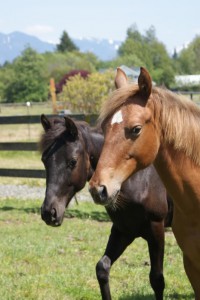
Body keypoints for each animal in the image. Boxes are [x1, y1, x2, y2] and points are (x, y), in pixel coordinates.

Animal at [39, 114, 173, 300]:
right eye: (44, 160)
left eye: (72, 162)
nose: (49, 212)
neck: (138, 179)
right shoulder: (123, 230)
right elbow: (102, 268)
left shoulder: (156, 228)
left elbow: (157, 279)